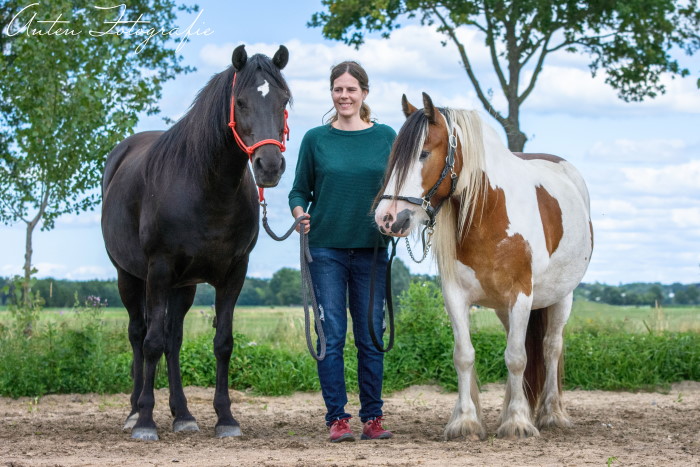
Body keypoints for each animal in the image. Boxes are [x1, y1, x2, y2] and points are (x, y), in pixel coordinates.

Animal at [101, 45, 291, 440]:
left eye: (283, 100)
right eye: (240, 102)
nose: (269, 166)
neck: (205, 188)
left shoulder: (234, 274)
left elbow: (222, 343)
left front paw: (226, 418)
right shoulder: (158, 270)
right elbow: (151, 344)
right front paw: (145, 421)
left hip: (183, 286)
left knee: (173, 340)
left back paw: (183, 414)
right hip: (131, 277)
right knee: (139, 334)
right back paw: (134, 412)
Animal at [374, 93, 593, 440]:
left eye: (423, 153)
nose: (387, 218)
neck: (491, 213)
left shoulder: (521, 295)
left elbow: (517, 357)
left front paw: (517, 423)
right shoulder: (456, 296)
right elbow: (464, 356)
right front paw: (466, 421)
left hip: (561, 297)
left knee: (550, 347)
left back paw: (551, 414)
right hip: (505, 309)